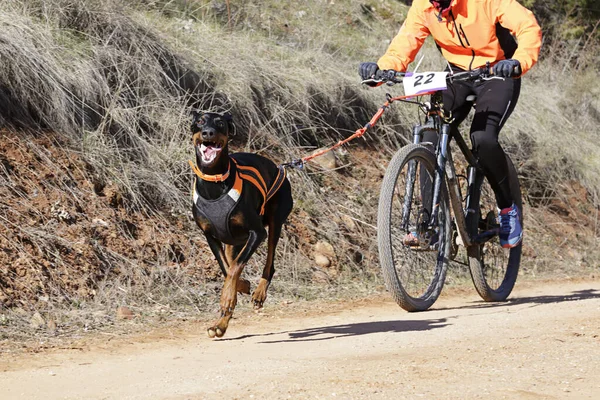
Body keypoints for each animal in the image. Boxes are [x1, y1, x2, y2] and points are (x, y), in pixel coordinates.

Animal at [190, 111, 292, 340]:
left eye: (220, 123)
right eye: (200, 121)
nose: (208, 132)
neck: (214, 182)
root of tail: (279, 166)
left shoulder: (257, 233)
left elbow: (235, 267)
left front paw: (228, 297)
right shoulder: (210, 235)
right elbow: (226, 267)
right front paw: (240, 288)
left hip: (275, 219)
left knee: (269, 263)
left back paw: (259, 294)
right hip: (232, 239)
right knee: (232, 259)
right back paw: (220, 324)